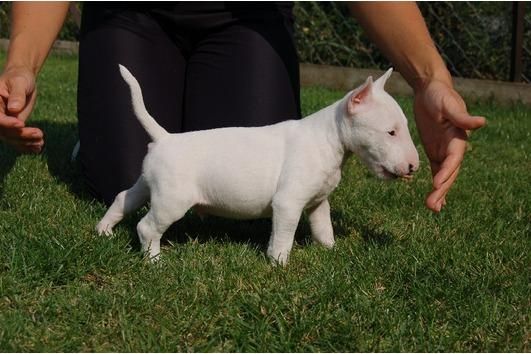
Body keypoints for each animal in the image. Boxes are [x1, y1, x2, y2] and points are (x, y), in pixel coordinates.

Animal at [95, 63, 420, 264]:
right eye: (391, 132)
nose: (414, 167)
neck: (329, 138)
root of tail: (164, 138)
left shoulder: (318, 202)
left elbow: (323, 227)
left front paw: (330, 252)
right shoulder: (288, 203)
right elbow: (284, 236)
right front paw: (278, 264)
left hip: (150, 185)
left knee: (123, 198)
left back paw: (103, 231)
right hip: (172, 200)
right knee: (147, 227)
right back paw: (154, 261)